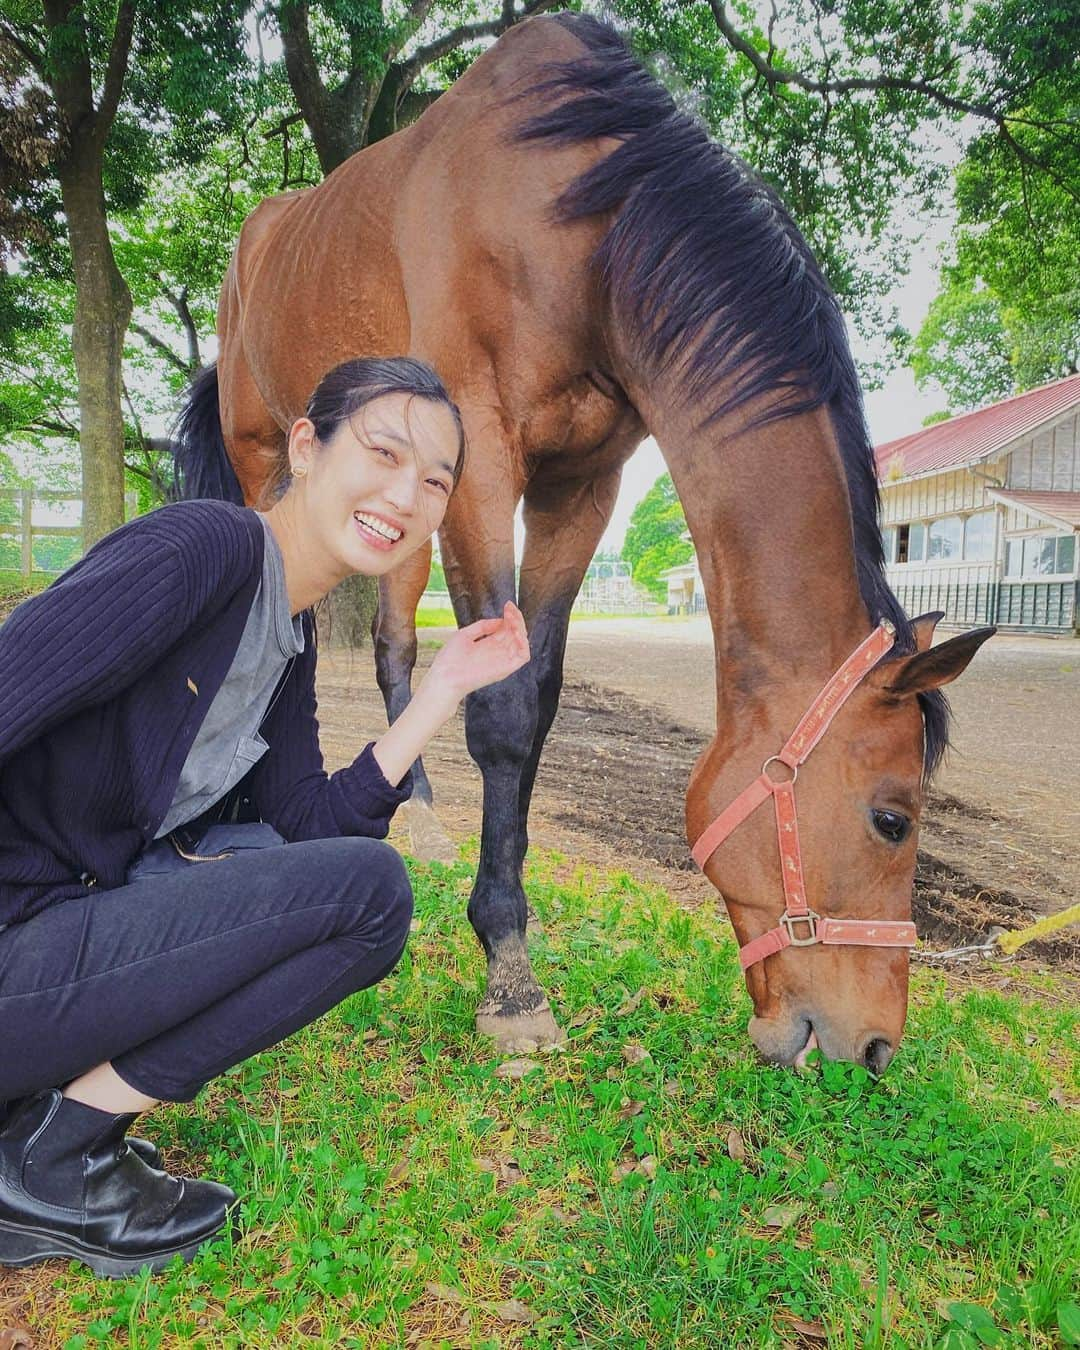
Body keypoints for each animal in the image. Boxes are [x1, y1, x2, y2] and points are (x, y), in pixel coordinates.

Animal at [172, 10, 993, 1063]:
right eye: (892, 820)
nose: (877, 1047)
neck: (582, 225)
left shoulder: (582, 485)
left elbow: (539, 696)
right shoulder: (482, 465)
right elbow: (499, 708)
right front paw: (510, 976)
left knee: (395, 647)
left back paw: (419, 818)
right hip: (265, 453)